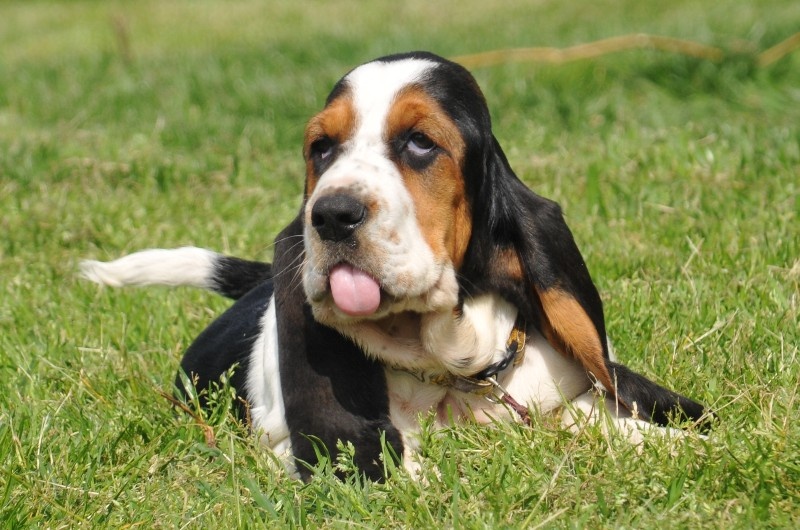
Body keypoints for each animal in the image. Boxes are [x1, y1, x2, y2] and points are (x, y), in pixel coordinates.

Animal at [82, 51, 710, 480]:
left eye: (420, 142)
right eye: (320, 148)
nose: (331, 215)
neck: (449, 372)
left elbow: (596, 414)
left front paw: (683, 445)